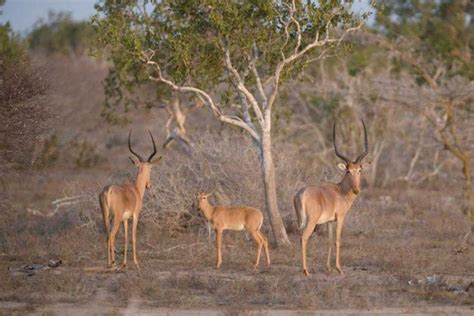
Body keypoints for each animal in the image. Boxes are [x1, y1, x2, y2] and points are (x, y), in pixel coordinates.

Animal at [99, 130, 162, 270]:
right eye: (151, 168)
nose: (149, 185)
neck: (135, 190)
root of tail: (109, 190)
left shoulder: (125, 219)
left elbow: (126, 238)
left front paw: (124, 263)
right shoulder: (135, 216)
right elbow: (133, 237)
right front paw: (136, 263)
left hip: (106, 217)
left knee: (107, 236)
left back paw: (108, 263)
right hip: (115, 218)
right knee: (112, 235)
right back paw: (113, 263)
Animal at [294, 119, 368, 276]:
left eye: (359, 170)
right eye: (348, 171)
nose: (356, 190)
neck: (340, 191)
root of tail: (302, 193)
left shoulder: (329, 222)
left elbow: (329, 240)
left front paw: (328, 267)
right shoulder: (340, 217)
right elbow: (338, 240)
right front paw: (339, 268)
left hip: (300, 221)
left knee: (299, 237)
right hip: (311, 222)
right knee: (304, 238)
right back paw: (306, 270)